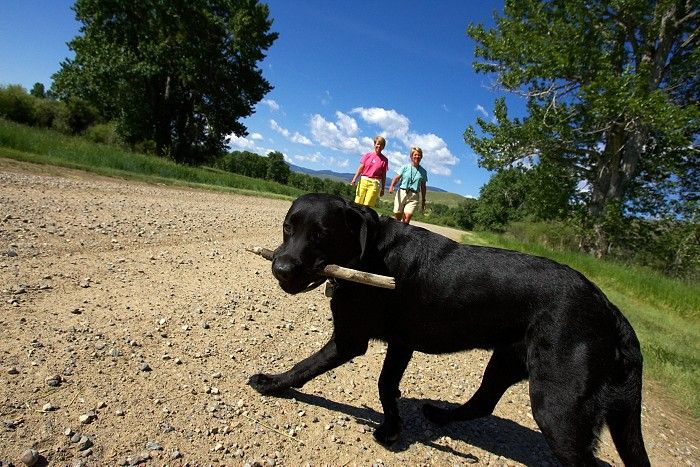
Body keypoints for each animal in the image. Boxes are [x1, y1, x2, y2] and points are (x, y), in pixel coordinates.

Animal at [250, 194, 652, 467]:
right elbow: (386, 384)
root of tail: (610, 310)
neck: (370, 253)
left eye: (322, 234)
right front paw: (393, 425)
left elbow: (305, 366)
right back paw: (440, 416)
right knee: (482, 403)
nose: (281, 268)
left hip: (558, 406)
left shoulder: (350, 340)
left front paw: (271, 382)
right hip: (507, 361)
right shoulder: (400, 343)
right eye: (288, 228)